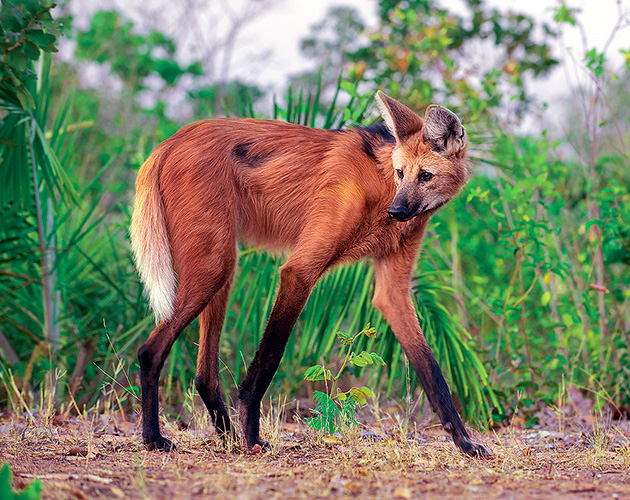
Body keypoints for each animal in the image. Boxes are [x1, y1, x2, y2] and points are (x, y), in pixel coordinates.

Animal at [131, 91, 492, 458]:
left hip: (221, 270)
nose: (398, 210)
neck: (379, 187)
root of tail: (168, 142)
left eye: (425, 176)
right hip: (213, 268)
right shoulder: (299, 271)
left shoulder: (393, 290)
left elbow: (432, 370)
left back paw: (226, 438)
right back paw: (155, 438)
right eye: (400, 173)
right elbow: (270, 357)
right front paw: (253, 437)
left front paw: (464, 442)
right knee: (150, 351)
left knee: (204, 375)